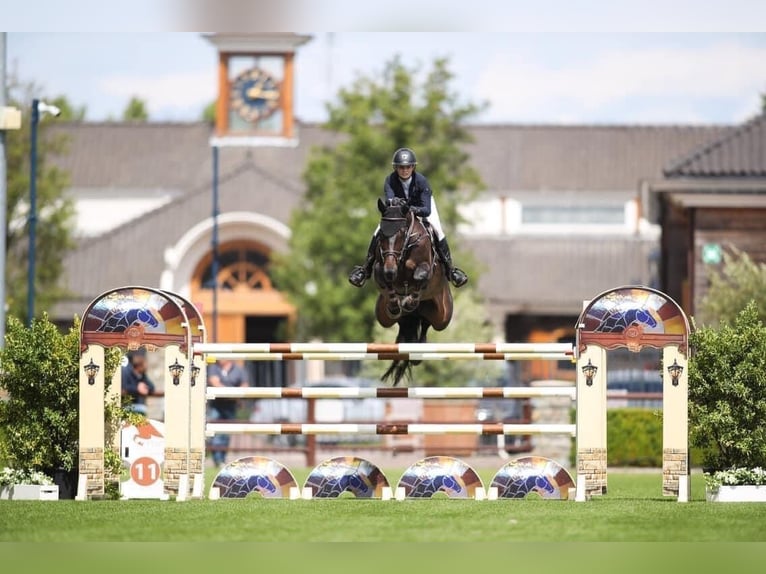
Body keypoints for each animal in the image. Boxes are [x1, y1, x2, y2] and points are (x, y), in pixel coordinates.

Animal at [374, 198, 452, 388]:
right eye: (382, 235)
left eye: (401, 233)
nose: (390, 271)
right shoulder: (381, 267)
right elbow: (383, 277)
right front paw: (396, 304)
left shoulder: (425, 267)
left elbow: (420, 275)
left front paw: (409, 301)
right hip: (383, 317)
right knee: (404, 324)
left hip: (442, 318)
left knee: (426, 324)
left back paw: (418, 349)